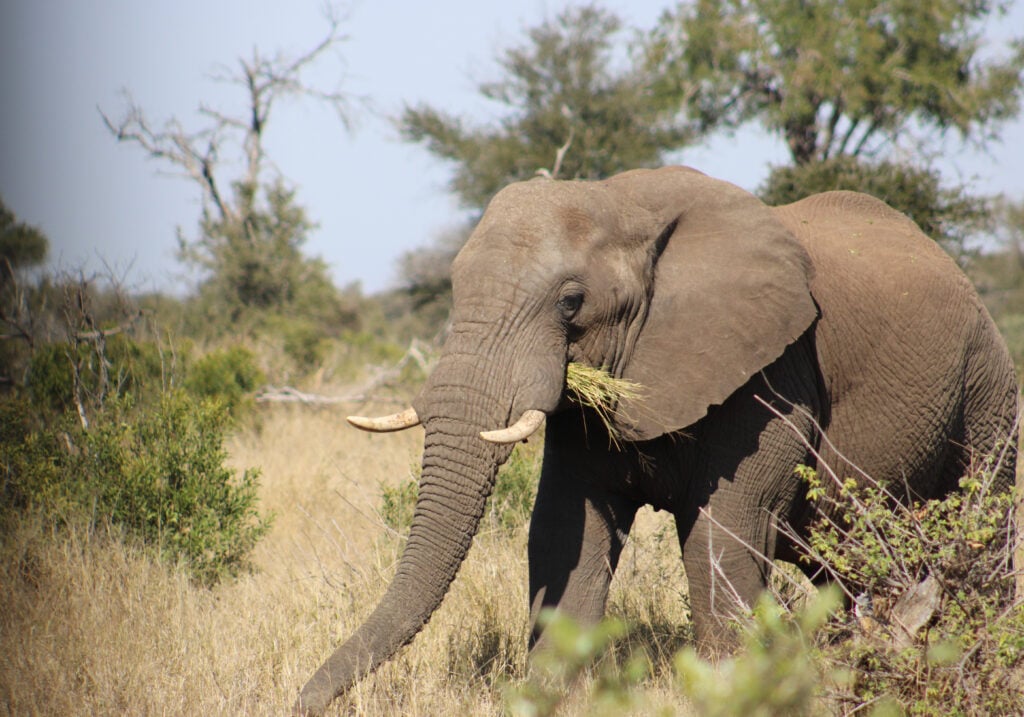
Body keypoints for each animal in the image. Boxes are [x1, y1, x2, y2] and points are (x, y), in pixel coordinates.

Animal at [294, 166, 1015, 712]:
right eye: (452, 287)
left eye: (570, 302)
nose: (299, 700)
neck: (623, 202)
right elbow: (564, 529)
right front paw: (550, 694)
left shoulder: (773, 370)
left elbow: (725, 529)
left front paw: (732, 691)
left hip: (988, 389)